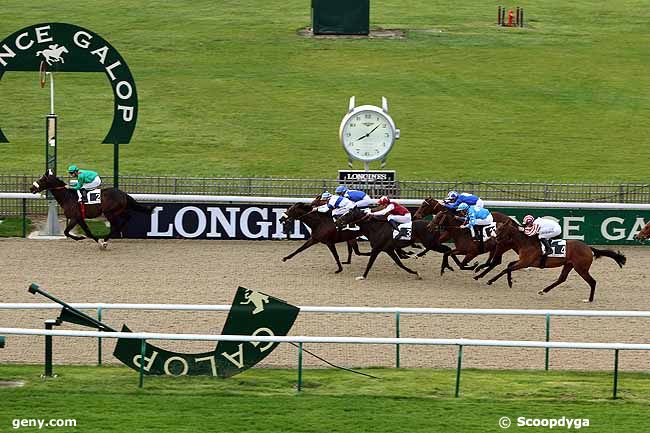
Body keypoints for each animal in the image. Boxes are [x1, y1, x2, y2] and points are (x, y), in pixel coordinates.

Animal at [484, 221, 624, 302]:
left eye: (501, 229)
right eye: (496, 228)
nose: (495, 239)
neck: (526, 242)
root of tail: (588, 248)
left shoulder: (525, 262)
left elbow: (506, 268)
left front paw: (497, 281)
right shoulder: (524, 261)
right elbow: (509, 266)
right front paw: (506, 281)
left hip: (581, 268)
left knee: (592, 282)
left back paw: (589, 299)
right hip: (569, 265)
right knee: (562, 279)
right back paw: (543, 291)